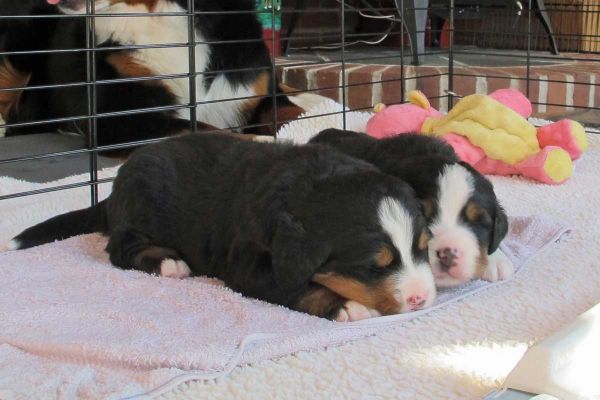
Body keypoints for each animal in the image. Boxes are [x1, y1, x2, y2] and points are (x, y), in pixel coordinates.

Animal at [4, 134, 436, 322]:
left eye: (422, 248)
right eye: (373, 265)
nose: (421, 298)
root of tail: (113, 189)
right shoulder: (248, 264)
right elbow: (299, 287)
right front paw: (346, 306)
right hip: (141, 208)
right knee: (120, 249)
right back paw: (169, 263)